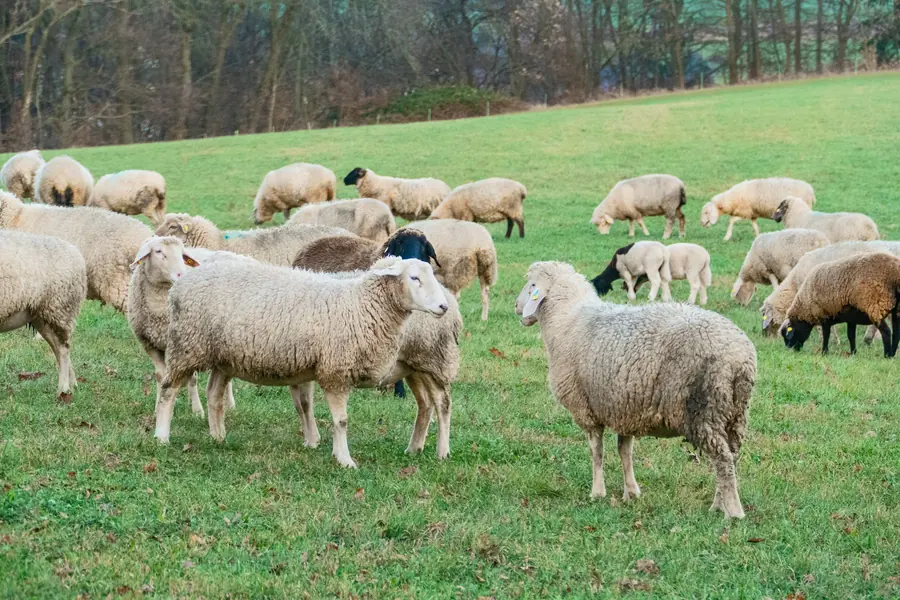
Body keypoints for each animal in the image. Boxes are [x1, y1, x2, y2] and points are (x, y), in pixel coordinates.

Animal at [0, 230, 86, 402]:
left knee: (63, 350)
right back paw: (72, 385)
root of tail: (75, 252)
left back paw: (63, 389)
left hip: (60, 308)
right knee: (58, 348)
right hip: (41, 316)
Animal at [153, 257, 451, 470]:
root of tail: (181, 283)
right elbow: (341, 421)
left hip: (223, 357)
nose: (443, 307)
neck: (361, 304)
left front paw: (335, 453)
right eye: (414, 277)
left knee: (214, 394)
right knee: (168, 390)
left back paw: (218, 437)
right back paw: (162, 437)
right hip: (187, 345)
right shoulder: (335, 371)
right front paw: (345, 460)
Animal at [515, 262, 756, 518]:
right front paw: (631, 492)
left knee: (723, 460)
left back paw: (732, 512)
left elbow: (596, 451)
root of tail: (740, 356)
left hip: (704, 409)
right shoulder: (626, 407)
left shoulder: (585, 409)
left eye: (531, 284)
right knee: (732, 456)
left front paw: (597, 492)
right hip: (734, 412)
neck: (566, 319)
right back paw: (719, 504)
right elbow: (625, 451)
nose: (517, 307)